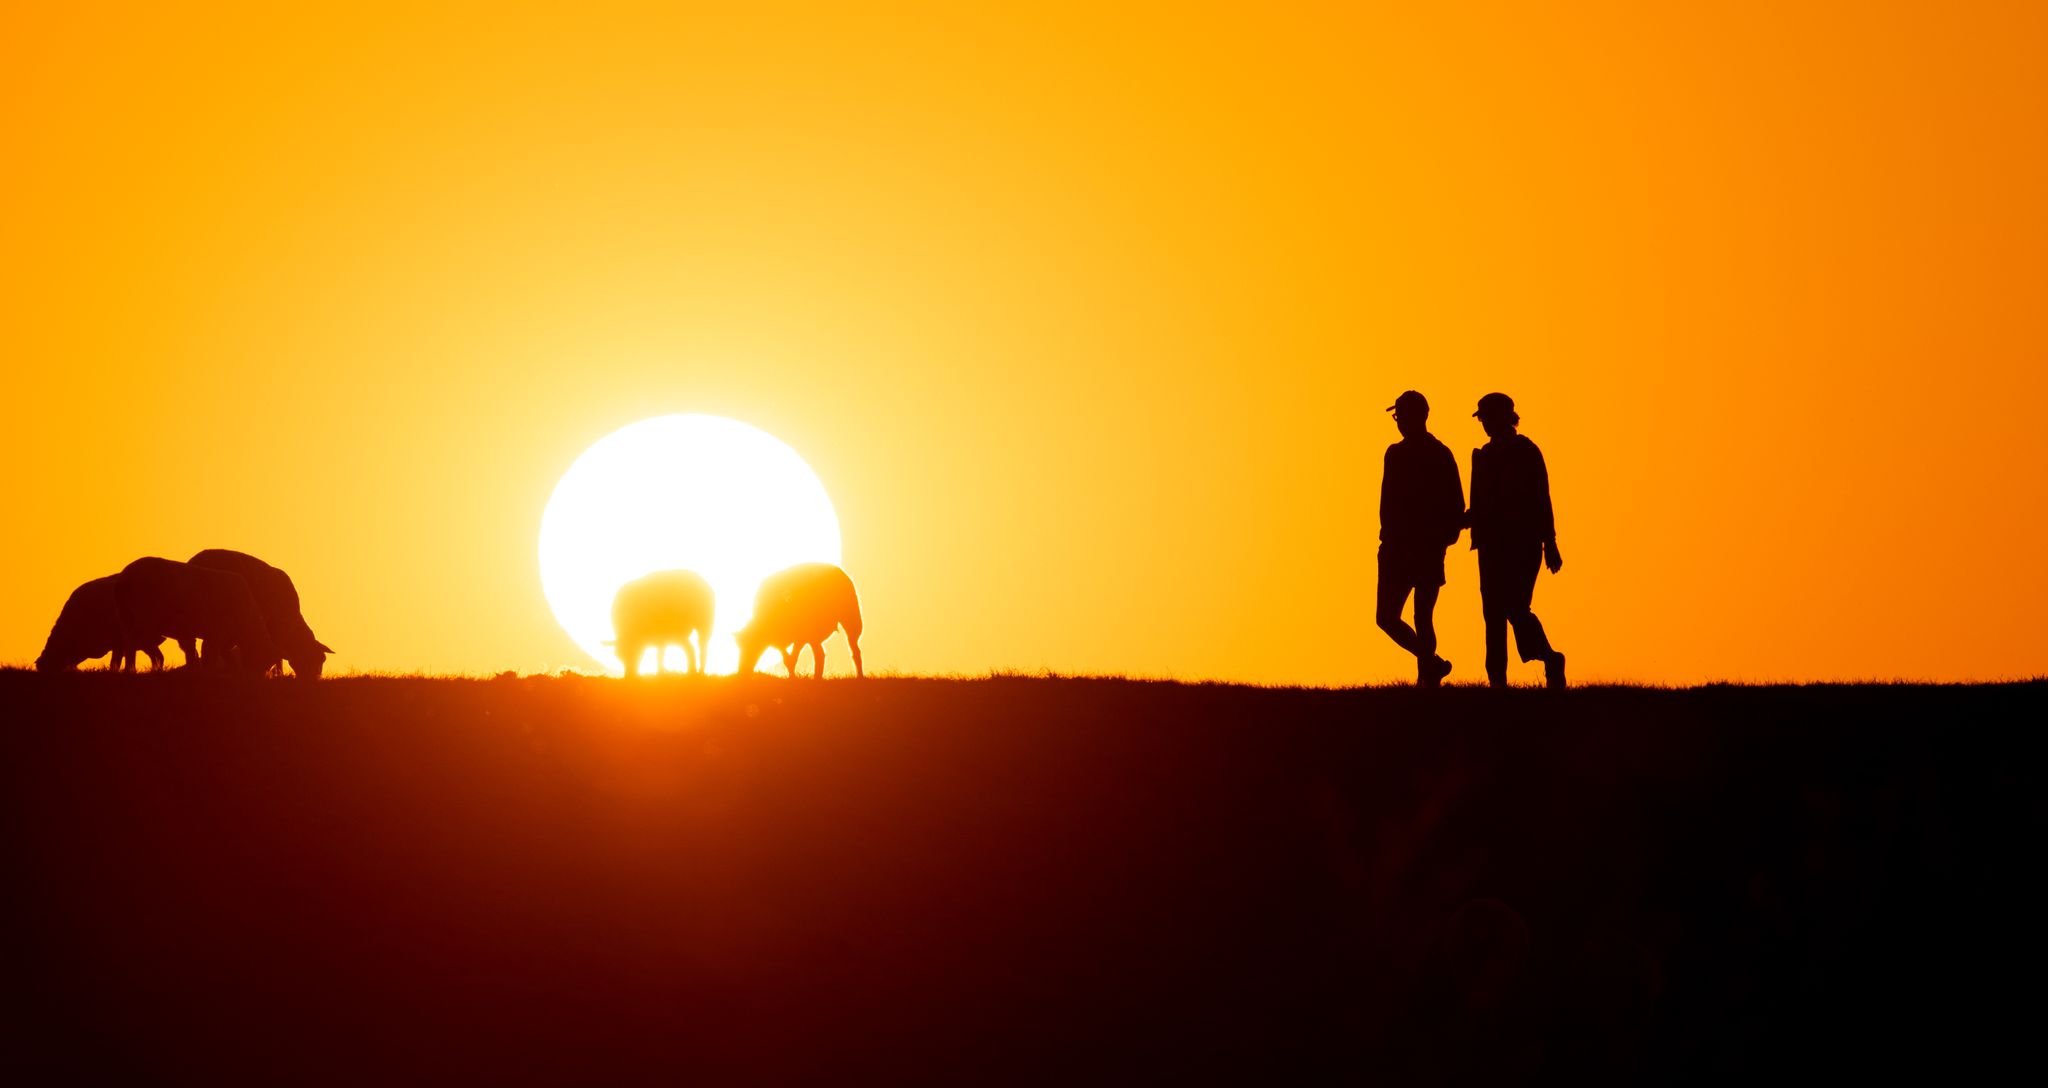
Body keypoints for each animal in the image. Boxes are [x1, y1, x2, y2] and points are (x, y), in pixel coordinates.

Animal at [112, 557, 278, 676]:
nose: (255, 676)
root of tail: (124, 578)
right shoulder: (216, 632)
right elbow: (209, 653)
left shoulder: (188, 632)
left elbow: (193, 651)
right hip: (145, 616)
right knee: (131, 642)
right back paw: (130, 670)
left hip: (124, 614)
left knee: (125, 641)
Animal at [190, 549, 333, 676]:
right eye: (317, 658)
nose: (314, 678)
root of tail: (196, 560)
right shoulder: (275, 631)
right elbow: (278, 656)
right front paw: (278, 674)